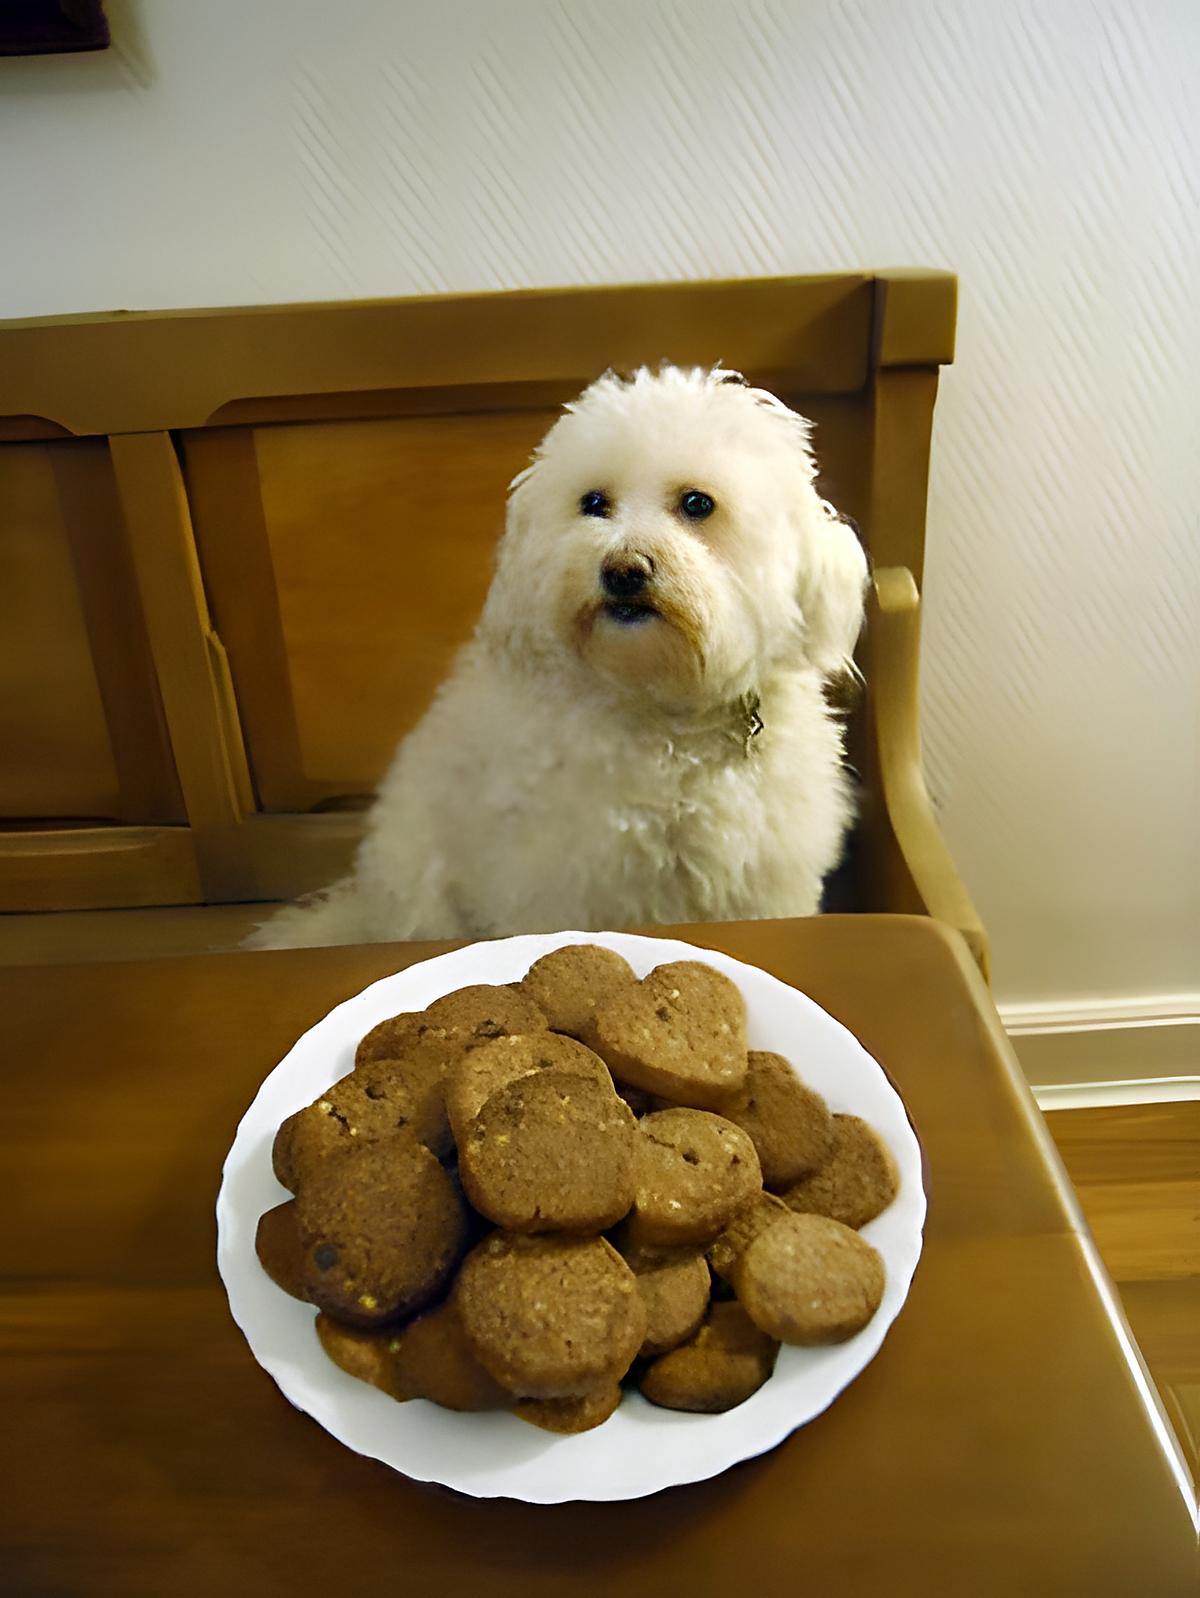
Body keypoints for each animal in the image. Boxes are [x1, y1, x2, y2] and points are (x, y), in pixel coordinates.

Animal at [249, 365, 869, 946]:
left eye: (698, 503)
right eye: (594, 502)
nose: (623, 570)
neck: (662, 710)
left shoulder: (762, 879)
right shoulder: (563, 883)